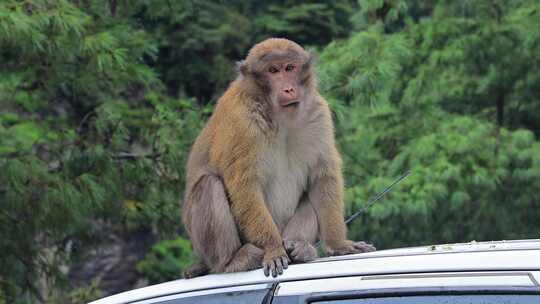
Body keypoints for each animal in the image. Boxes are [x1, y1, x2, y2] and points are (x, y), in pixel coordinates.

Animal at [181, 37, 376, 278]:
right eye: (273, 70)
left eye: (289, 68)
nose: (289, 88)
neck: (280, 117)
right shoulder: (241, 121)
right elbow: (245, 186)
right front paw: (273, 249)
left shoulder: (318, 112)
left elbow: (322, 175)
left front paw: (339, 245)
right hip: (206, 244)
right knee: (208, 185)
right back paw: (233, 261)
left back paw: (299, 247)